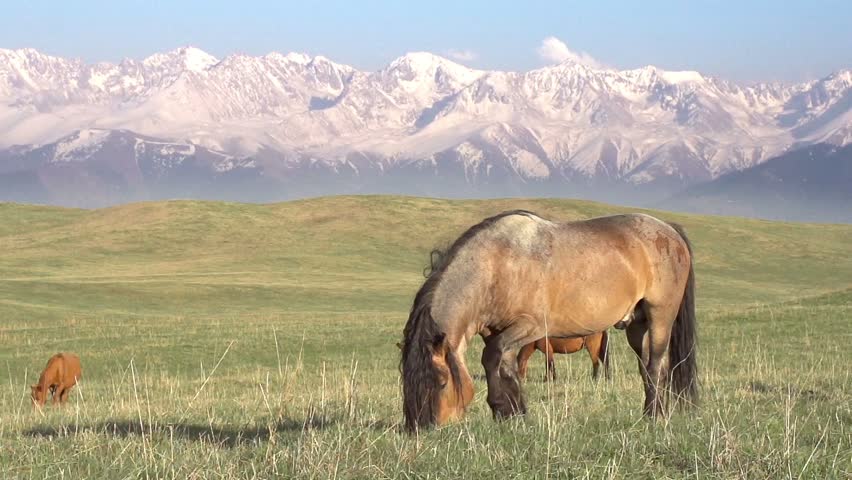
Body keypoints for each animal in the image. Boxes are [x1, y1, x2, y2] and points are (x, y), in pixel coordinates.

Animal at [399, 211, 697, 432]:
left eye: (441, 382)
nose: (424, 428)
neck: (497, 264)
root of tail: (668, 229)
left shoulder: (528, 327)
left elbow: (493, 357)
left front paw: (501, 407)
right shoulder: (498, 332)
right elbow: (505, 366)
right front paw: (515, 413)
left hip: (660, 317)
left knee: (656, 366)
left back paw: (654, 417)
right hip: (637, 325)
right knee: (648, 367)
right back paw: (652, 413)